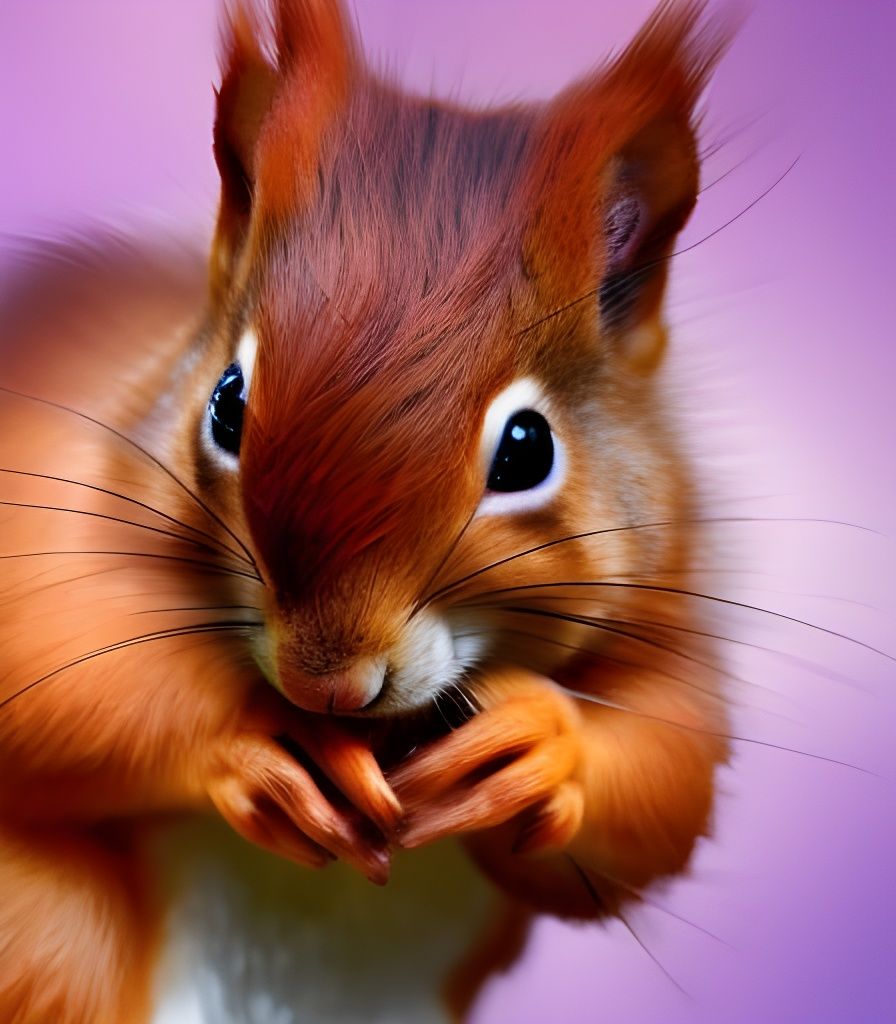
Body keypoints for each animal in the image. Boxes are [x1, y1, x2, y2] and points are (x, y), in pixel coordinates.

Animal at [0, 1, 733, 1021]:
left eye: (528, 448)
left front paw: (544, 744)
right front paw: (264, 735)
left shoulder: (669, 616)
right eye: (226, 402)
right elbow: (45, 662)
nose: (326, 685)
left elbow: (667, 781)